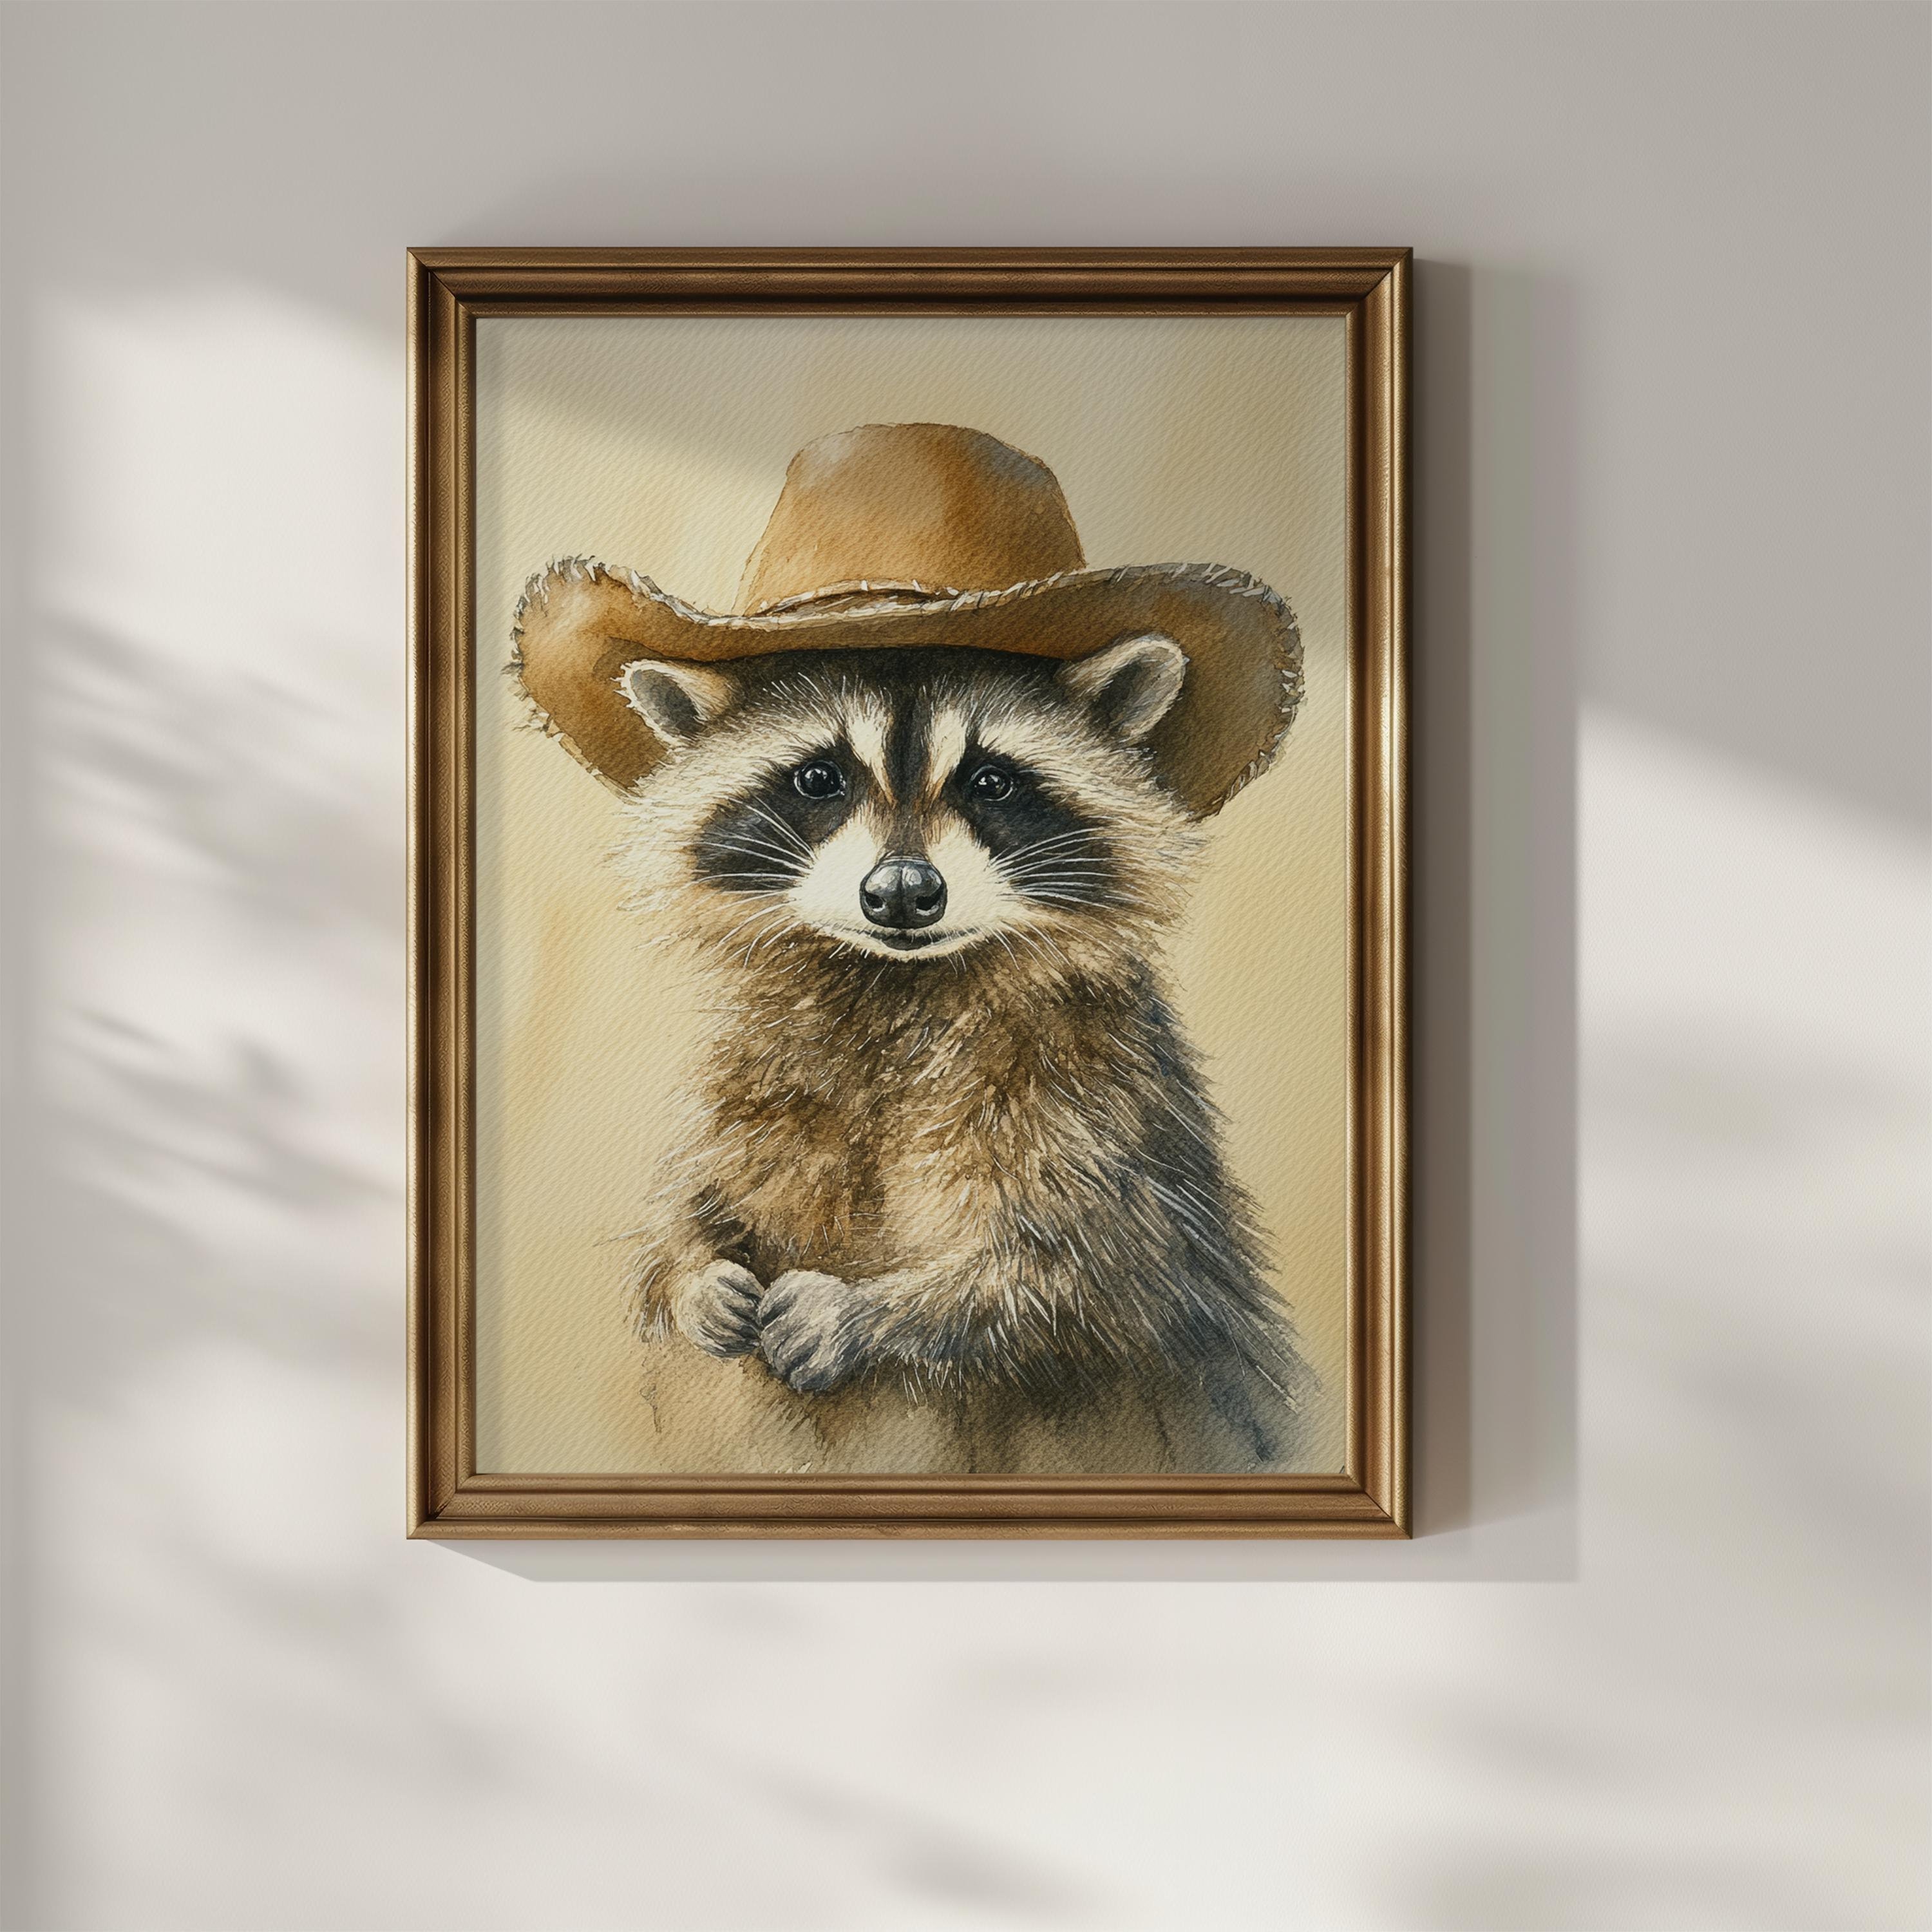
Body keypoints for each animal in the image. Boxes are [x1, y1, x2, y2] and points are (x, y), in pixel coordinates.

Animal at [611, 634, 1313, 1471]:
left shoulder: (1096, 1100)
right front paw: (692, 1272)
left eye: (993, 781)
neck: (895, 982)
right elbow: (686, 1205)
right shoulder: (753, 1076)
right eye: (819, 778)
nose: (902, 891)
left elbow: (1093, 1276)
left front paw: (870, 1313)